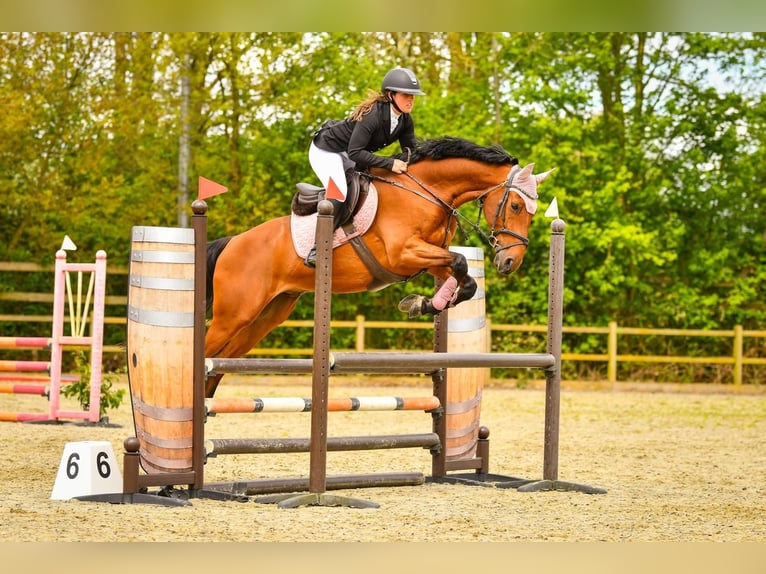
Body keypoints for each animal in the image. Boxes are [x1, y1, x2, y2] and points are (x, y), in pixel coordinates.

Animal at [204, 136, 554, 397]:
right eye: (516, 205)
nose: (510, 262)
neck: (426, 192)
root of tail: (233, 243)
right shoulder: (404, 254)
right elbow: (460, 261)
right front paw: (422, 302)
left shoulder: (430, 257)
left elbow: (465, 280)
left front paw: (421, 303)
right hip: (235, 314)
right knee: (205, 351)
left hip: (265, 317)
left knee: (218, 362)